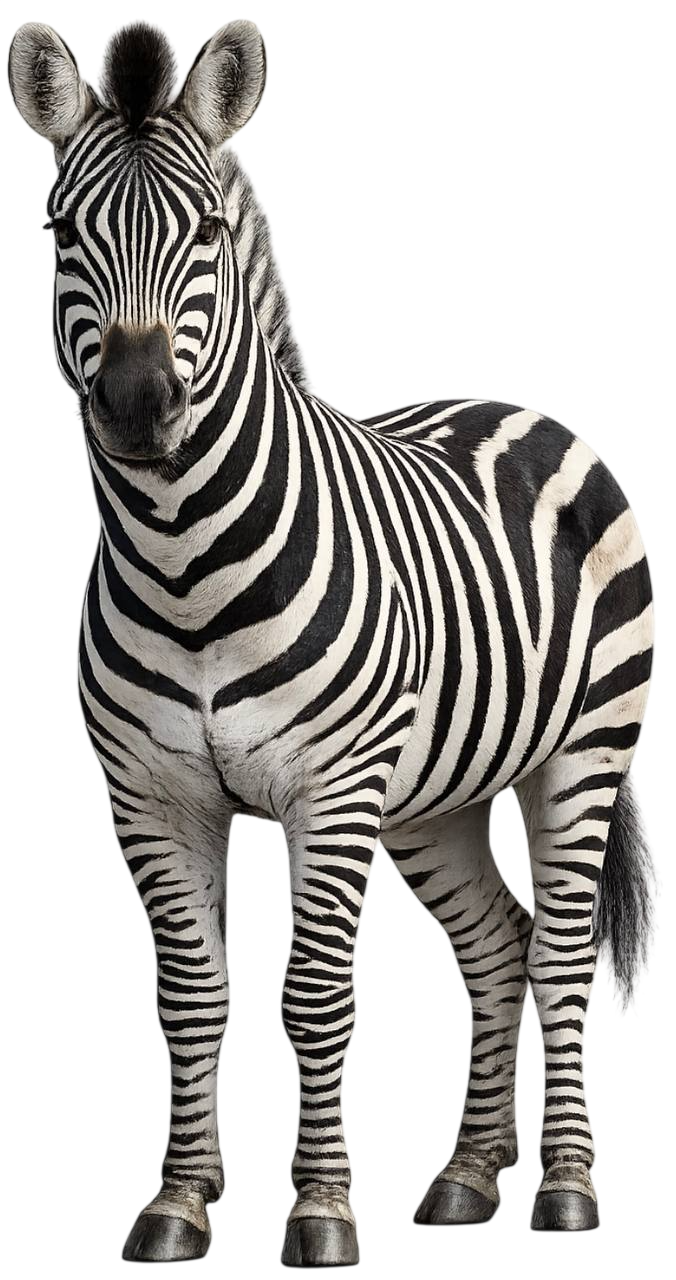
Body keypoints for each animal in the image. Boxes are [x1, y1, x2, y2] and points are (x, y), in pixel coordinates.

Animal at [8, 16, 660, 1264]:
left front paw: (318, 1209)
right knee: (495, 941)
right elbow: (192, 994)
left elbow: (312, 996)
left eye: (206, 231)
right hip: (431, 797)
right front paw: (179, 1200)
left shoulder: (329, 792)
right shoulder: (153, 794)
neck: (184, 566)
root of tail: (516, 405)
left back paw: (564, 1184)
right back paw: (467, 1172)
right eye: (64, 233)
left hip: (581, 751)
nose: (134, 403)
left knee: (555, 956)